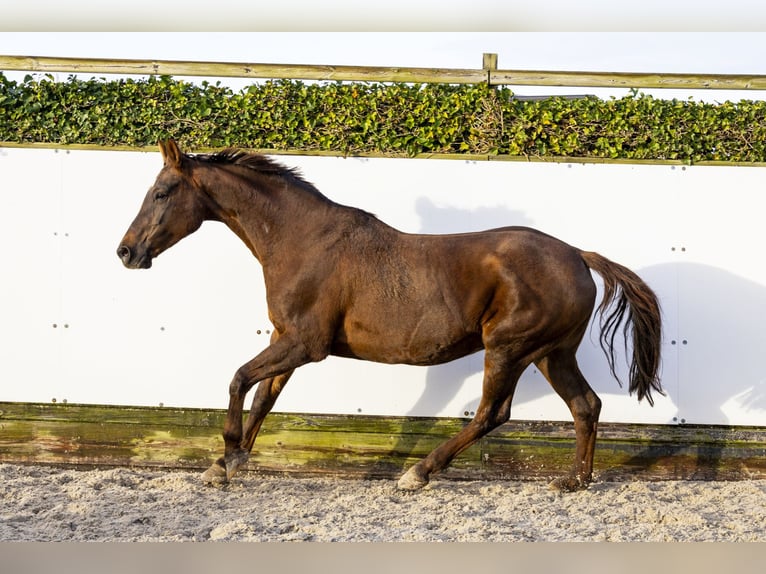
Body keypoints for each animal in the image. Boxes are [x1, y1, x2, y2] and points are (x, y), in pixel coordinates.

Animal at [117, 142, 664, 492]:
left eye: (162, 192)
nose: (126, 252)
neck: (301, 240)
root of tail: (577, 255)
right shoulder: (285, 338)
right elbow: (263, 399)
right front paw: (226, 464)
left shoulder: (306, 344)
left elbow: (237, 380)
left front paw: (226, 455)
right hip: (552, 353)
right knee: (585, 405)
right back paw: (574, 482)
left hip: (510, 347)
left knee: (494, 412)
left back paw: (417, 474)